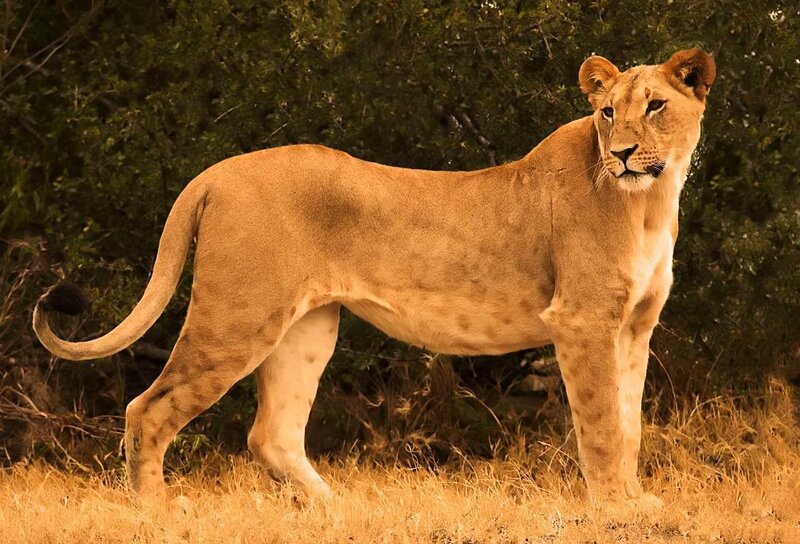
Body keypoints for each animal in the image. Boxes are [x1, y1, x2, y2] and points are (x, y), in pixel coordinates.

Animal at [33, 49, 715, 505]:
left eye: (655, 106)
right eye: (607, 113)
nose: (621, 154)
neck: (650, 204)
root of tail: (216, 171)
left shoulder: (633, 327)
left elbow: (628, 421)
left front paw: (635, 499)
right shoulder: (582, 320)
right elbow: (602, 424)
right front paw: (618, 510)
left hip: (307, 327)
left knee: (271, 433)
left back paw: (335, 511)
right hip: (237, 316)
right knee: (147, 410)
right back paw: (159, 513)